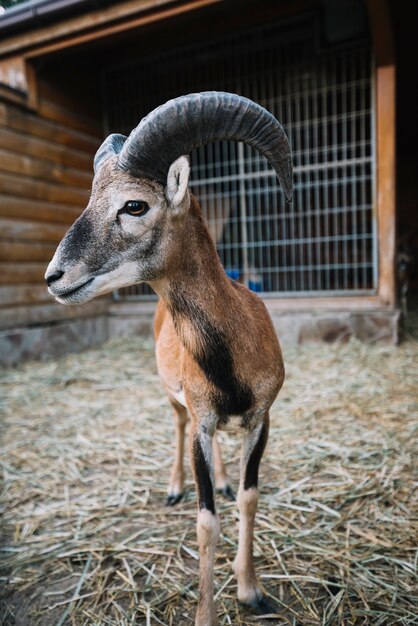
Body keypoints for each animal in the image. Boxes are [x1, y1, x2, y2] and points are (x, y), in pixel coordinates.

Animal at [45, 91, 292, 624]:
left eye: (134, 205)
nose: (54, 277)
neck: (229, 363)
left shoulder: (261, 420)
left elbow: (249, 498)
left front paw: (252, 592)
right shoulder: (200, 419)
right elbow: (206, 522)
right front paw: (208, 612)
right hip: (175, 401)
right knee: (176, 427)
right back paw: (175, 487)